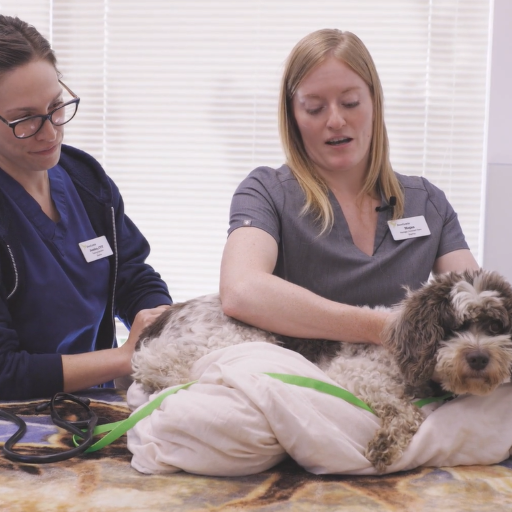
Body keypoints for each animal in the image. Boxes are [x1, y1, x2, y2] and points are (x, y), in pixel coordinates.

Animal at [130, 270, 512, 474]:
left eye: (495, 327)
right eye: (453, 327)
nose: (479, 358)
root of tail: (173, 312)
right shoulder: (358, 374)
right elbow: (404, 411)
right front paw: (387, 442)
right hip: (232, 339)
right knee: (154, 361)